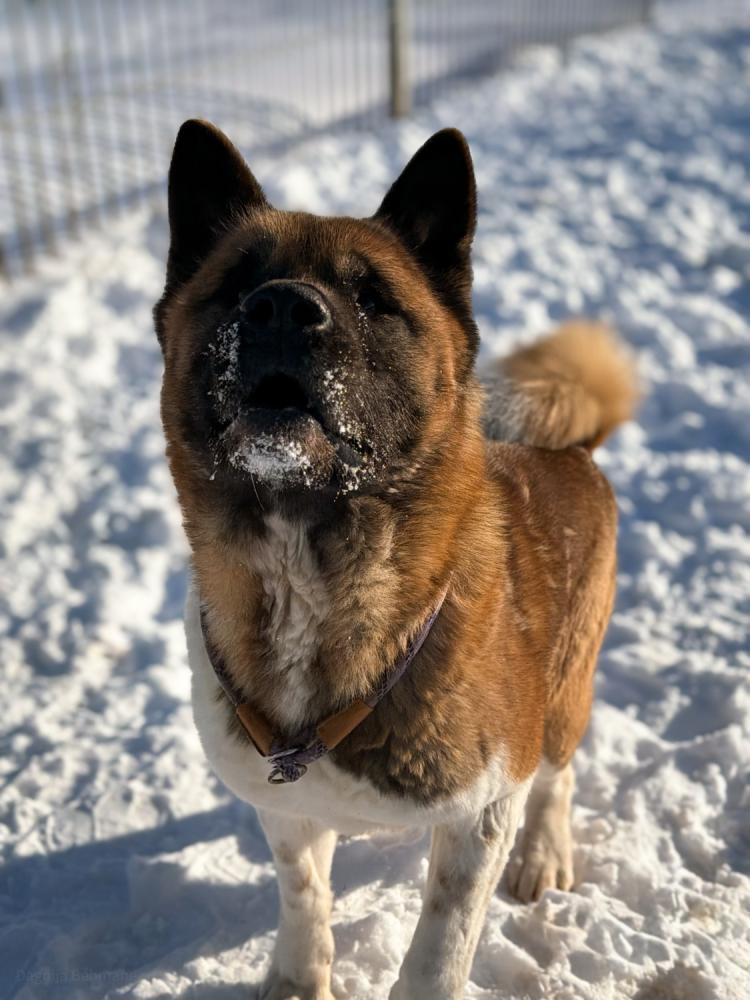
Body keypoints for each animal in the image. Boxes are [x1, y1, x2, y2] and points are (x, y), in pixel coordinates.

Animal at [154, 119, 636, 1000]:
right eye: (237, 283)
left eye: (373, 296)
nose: (282, 306)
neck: (313, 576)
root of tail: (569, 446)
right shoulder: (285, 807)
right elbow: (302, 890)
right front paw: (298, 977)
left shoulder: (480, 817)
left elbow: (436, 953)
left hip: (563, 691)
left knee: (558, 775)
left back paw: (545, 854)